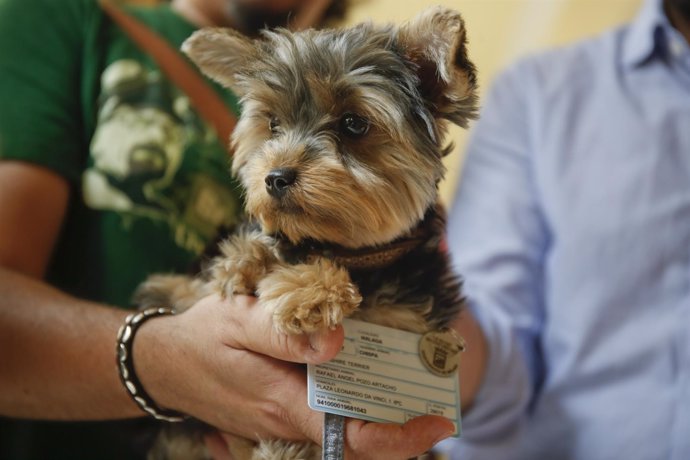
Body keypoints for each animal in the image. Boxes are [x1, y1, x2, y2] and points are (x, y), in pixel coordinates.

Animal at [137, 5, 476, 458]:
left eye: (353, 123)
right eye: (273, 124)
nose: (275, 177)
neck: (349, 253)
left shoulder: (407, 326)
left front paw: (310, 289)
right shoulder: (187, 288)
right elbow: (196, 281)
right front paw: (253, 262)